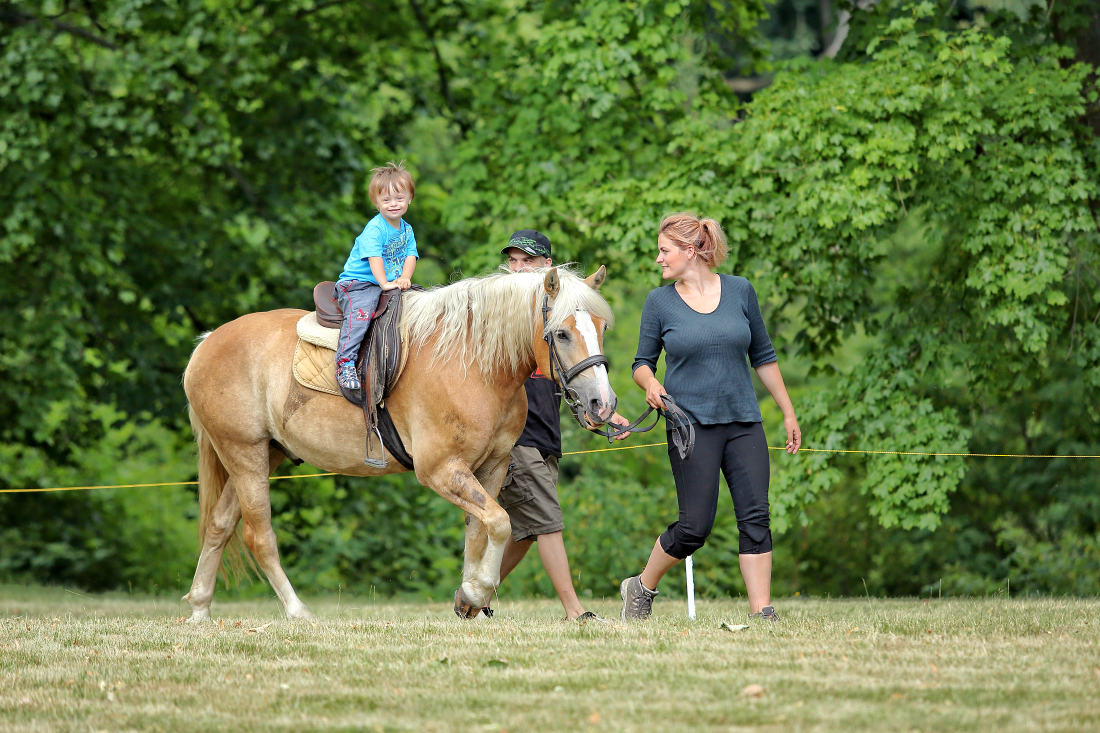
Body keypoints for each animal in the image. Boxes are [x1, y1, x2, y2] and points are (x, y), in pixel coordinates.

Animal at [181, 266, 617, 621]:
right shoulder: (441, 470)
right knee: (259, 536)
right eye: (561, 333)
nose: (603, 403)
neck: (473, 363)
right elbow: (499, 522)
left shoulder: (491, 467)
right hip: (245, 453)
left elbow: (482, 529)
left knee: (219, 525)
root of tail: (206, 343)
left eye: (602, 328)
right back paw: (297, 611)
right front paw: (477, 591)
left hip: (262, 454)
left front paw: (469, 596)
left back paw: (200, 608)